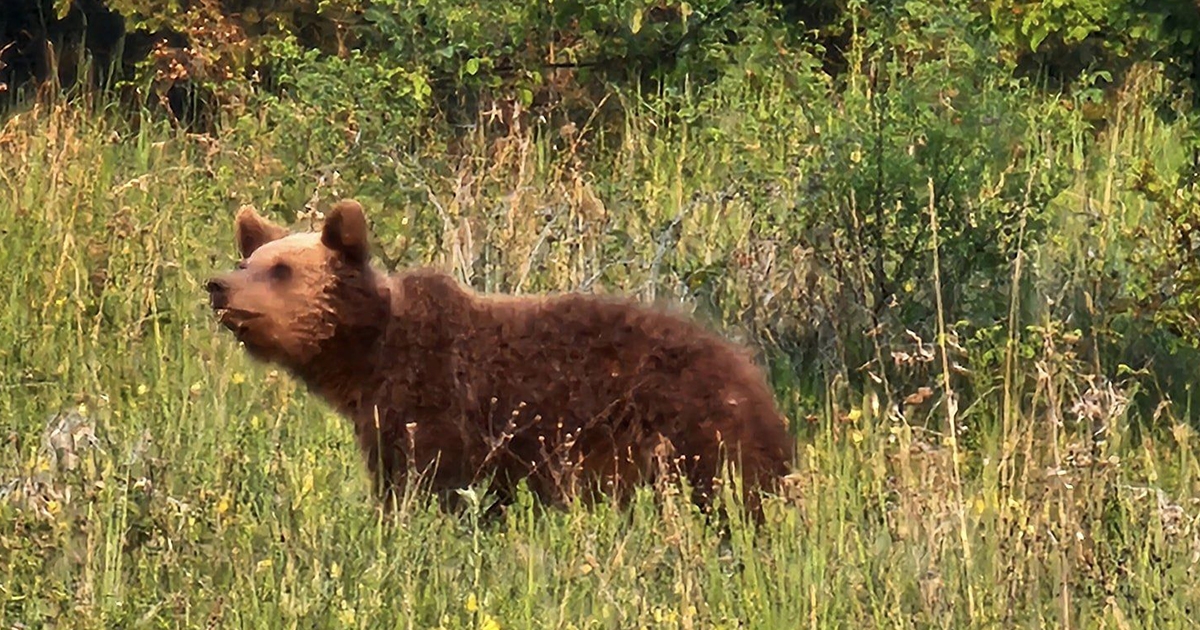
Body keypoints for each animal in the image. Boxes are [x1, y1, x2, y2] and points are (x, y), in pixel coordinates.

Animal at [208, 199, 796, 513]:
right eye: (248, 260)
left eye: (281, 270)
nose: (218, 286)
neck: (371, 358)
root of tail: (752, 374)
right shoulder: (386, 420)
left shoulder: (439, 401)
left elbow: (431, 484)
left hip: (686, 430)